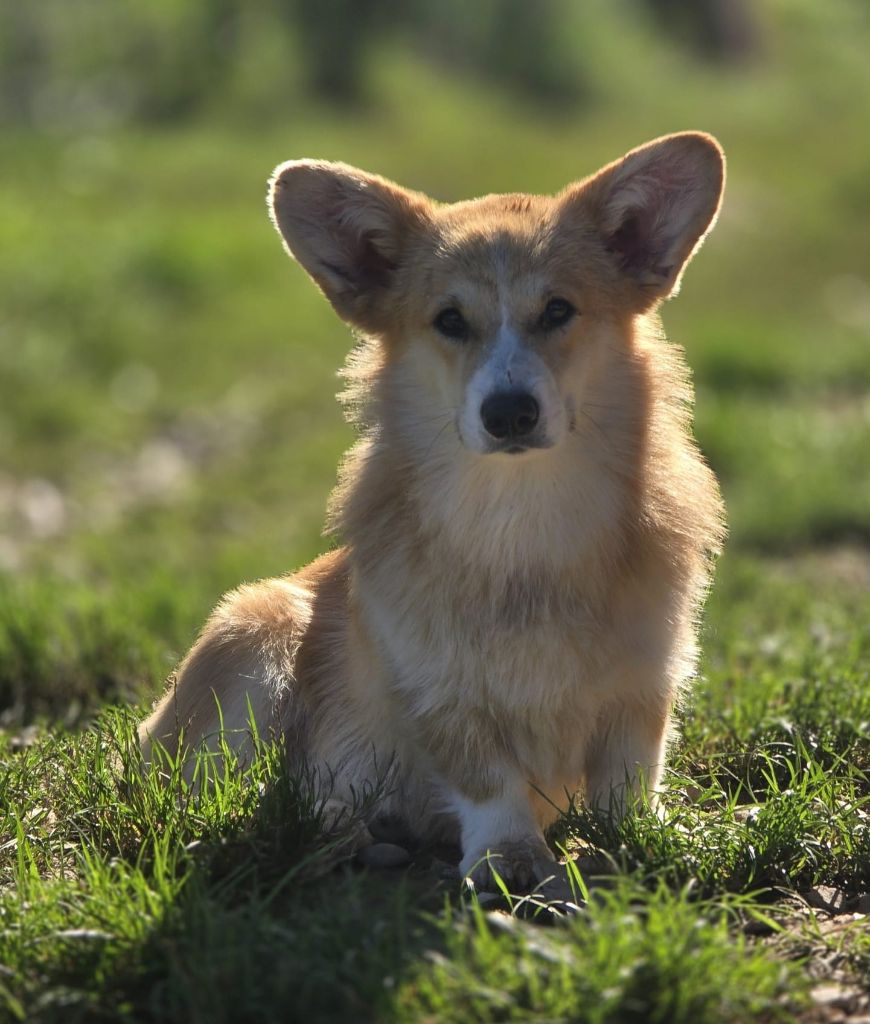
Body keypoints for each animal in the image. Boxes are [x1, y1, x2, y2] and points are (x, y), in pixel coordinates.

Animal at [139, 134, 724, 888]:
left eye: (558, 310)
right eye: (450, 321)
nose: (509, 413)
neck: (520, 513)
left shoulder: (645, 682)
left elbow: (628, 778)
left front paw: (640, 838)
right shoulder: (438, 690)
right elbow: (486, 778)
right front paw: (510, 857)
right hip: (257, 629)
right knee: (220, 794)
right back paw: (336, 822)